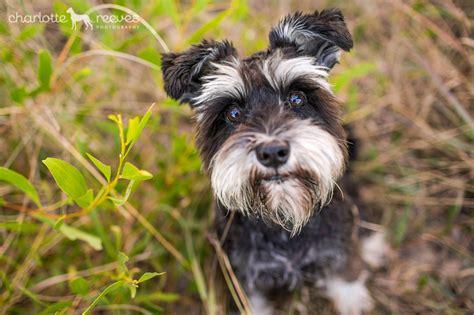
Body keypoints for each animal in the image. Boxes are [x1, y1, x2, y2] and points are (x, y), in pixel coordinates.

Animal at [162, 8, 386, 314]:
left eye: (297, 97)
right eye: (233, 112)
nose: (272, 153)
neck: (283, 221)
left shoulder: (338, 252)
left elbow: (346, 279)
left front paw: (353, 299)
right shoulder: (245, 280)